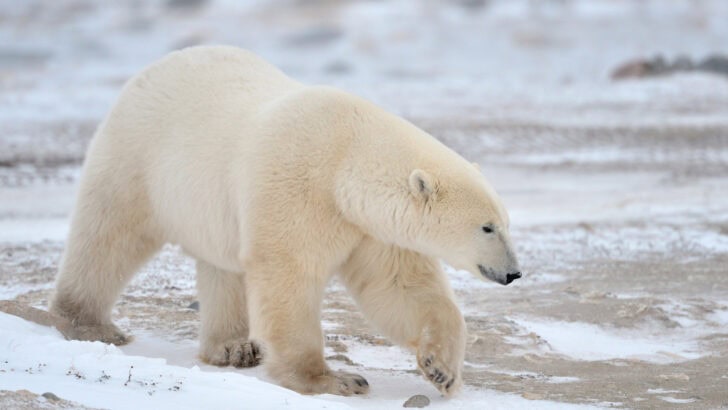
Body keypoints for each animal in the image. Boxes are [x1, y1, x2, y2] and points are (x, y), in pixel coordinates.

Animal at [50, 46, 521, 397]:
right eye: (487, 227)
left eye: (505, 221)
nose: (514, 273)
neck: (345, 161)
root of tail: (156, 65)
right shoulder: (297, 185)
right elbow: (288, 277)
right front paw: (334, 379)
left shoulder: (370, 228)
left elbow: (400, 288)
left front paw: (442, 370)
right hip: (137, 155)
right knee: (108, 234)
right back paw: (87, 321)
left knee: (222, 267)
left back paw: (232, 347)